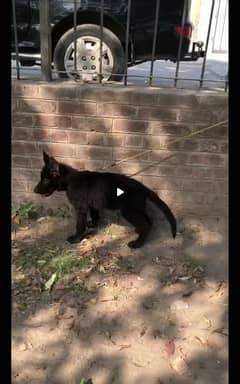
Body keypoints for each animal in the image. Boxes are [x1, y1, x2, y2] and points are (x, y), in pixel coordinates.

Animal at [33, 152, 176, 248]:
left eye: (45, 180)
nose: (34, 190)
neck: (70, 180)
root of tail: (143, 187)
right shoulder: (91, 205)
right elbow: (95, 216)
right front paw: (93, 225)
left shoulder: (80, 208)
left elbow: (79, 225)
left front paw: (76, 239)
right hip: (138, 208)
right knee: (148, 221)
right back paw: (139, 232)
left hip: (129, 211)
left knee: (145, 224)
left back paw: (137, 244)